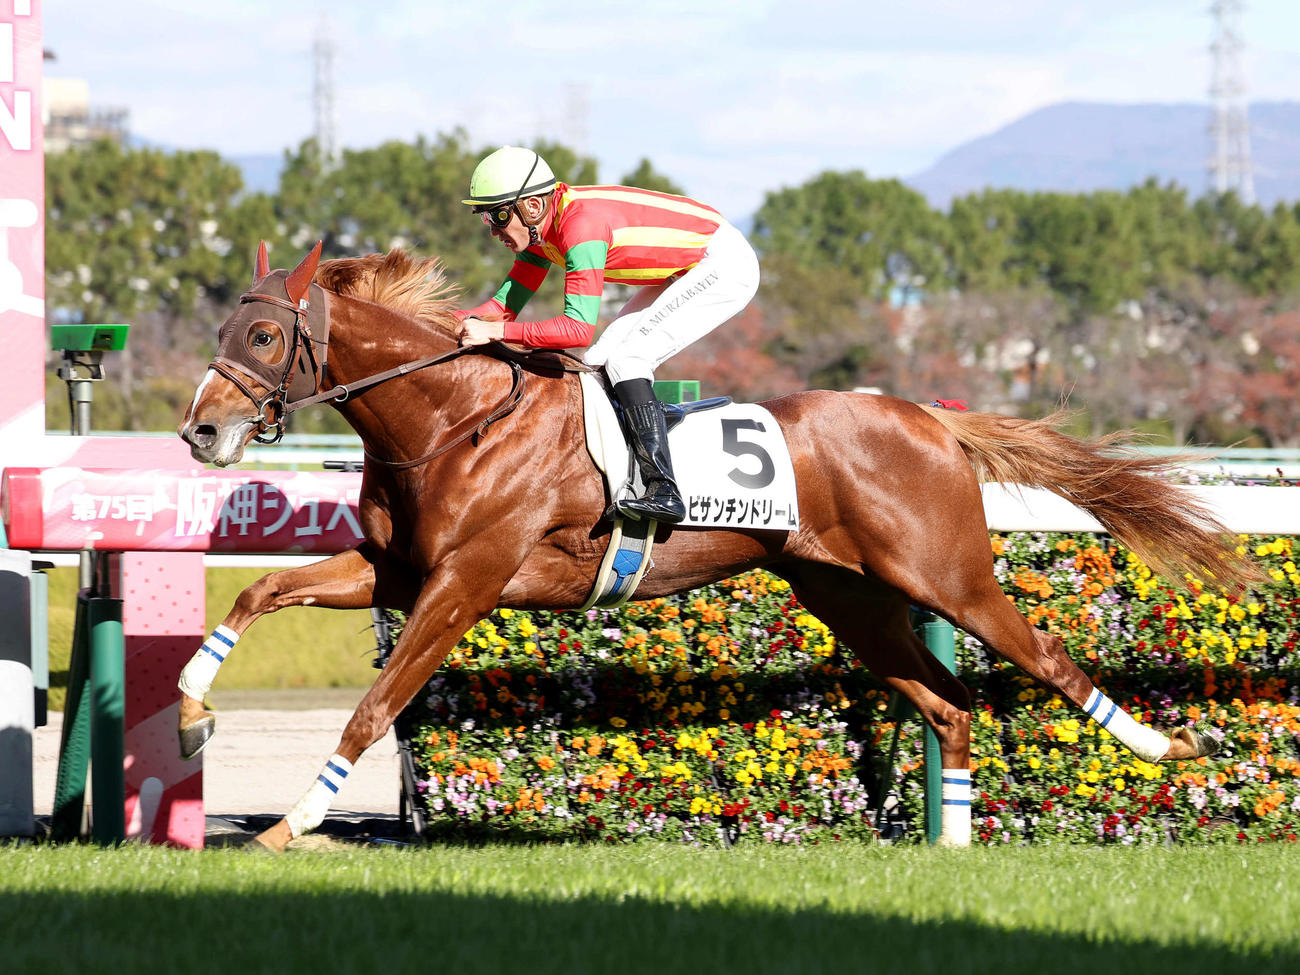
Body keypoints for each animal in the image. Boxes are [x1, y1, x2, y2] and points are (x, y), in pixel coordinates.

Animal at [178, 242, 1258, 851]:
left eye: (265, 336)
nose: (200, 430)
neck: (456, 417)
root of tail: (931, 420)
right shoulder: (395, 568)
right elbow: (256, 594)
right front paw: (191, 712)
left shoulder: (465, 582)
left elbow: (373, 706)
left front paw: (291, 824)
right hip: (849, 596)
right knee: (946, 703)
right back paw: (946, 844)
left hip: (945, 573)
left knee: (1043, 656)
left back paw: (1163, 745)